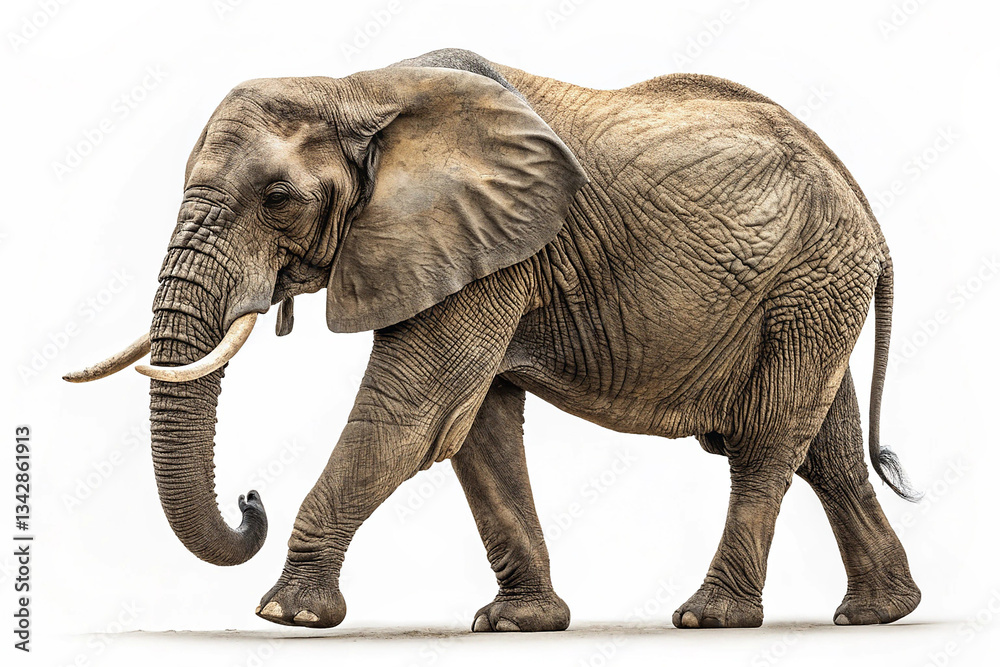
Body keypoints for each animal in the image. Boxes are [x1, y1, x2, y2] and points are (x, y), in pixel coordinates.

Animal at [65, 48, 921, 632]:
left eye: (278, 198)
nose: (250, 498)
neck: (357, 87)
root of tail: (869, 211)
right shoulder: (476, 251)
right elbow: (475, 428)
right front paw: (516, 624)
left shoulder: (489, 250)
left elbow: (413, 411)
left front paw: (288, 614)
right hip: (812, 292)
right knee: (828, 448)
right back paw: (879, 612)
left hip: (810, 281)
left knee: (767, 440)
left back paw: (709, 617)